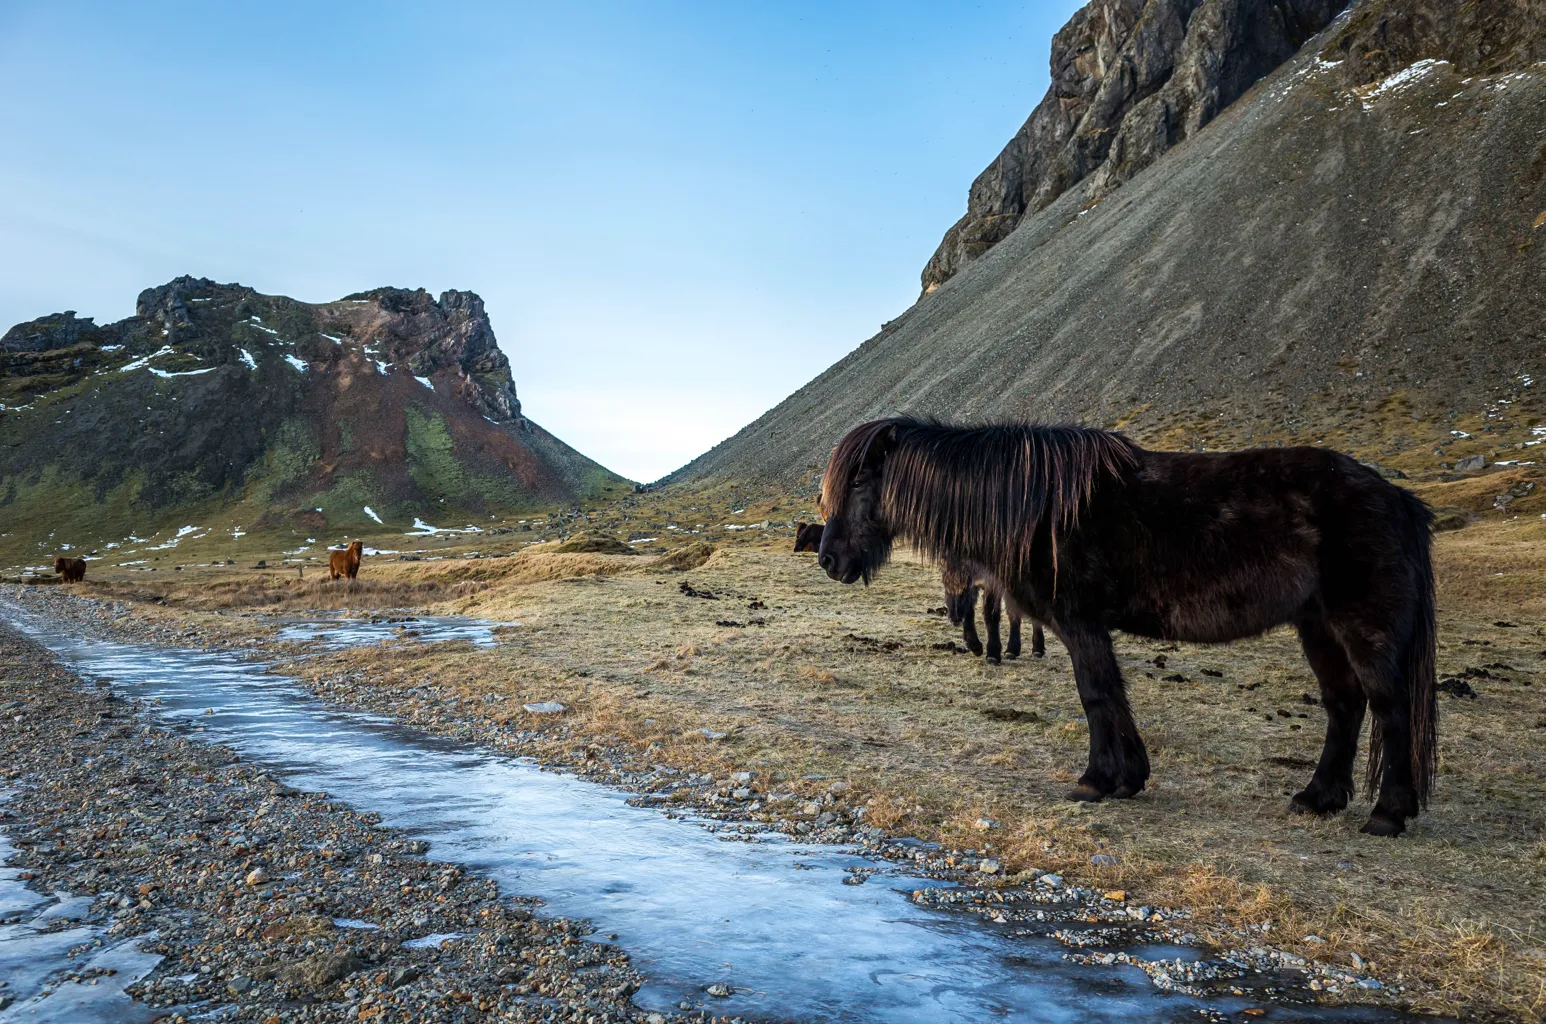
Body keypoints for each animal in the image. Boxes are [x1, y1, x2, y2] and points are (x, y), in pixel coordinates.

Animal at [822, 420, 1434, 841]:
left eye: (860, 481)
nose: (829, 560)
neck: (1032, 505)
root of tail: (1396, 498)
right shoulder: (1085, 626)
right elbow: (1112, 695)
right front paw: (1129, 777)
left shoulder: (1080, 622)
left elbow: (1095, 695)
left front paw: (1096, 780)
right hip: (1317, 627)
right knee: (1344, 705)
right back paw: (1319, 797)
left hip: (1362, 627)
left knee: (1389, 707)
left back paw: (1388, 813)